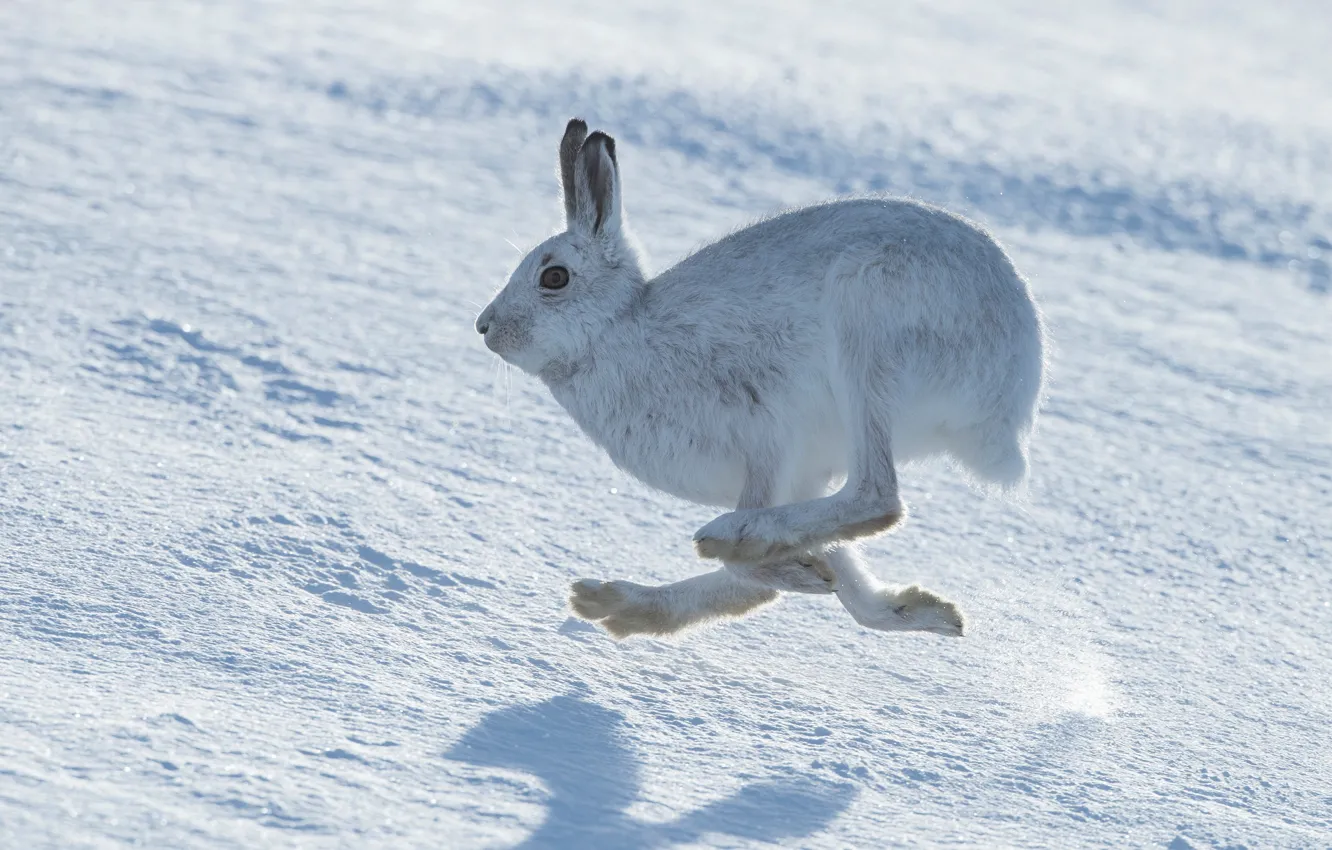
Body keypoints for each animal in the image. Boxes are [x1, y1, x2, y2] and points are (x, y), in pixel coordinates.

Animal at [475, 118, 1046, 640]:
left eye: (554, 277)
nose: (485, 327)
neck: (617, 328)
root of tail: (1013, 393)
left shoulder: (767, 433)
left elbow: (757, 567)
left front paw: (792, 568)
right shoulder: (801, 474)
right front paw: (818, 575)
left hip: (866, 323)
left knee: (877, 495)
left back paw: (723, 540)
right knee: (863, 565)